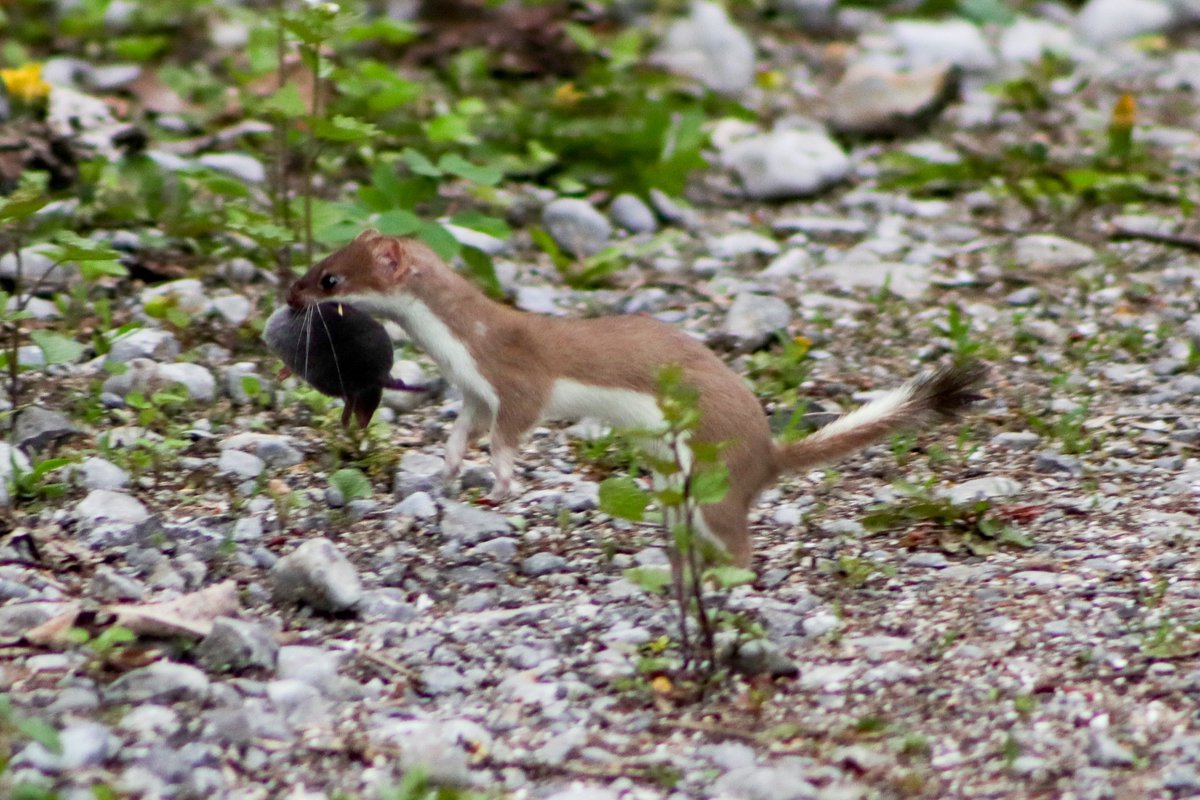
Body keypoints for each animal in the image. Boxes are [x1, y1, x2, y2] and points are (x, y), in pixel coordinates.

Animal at [288, 230, 984, 568]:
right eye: (316, 263)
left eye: (329, 278)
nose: (289, 295)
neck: (458, 345)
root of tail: (766, 452)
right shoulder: (473, 390)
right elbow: (464, 429)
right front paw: (451, 467)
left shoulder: (517, 379)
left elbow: (513, 432)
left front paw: (503, 481)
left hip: (713, 479)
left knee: (738, 540)